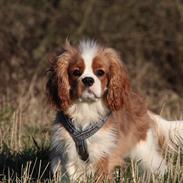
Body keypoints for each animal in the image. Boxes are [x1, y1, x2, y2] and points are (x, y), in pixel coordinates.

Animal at [46, 39, 183, 182]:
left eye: (100, 72)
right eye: (76, 72)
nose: (88, 80)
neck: (87, 108)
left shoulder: (105, 151)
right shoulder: (69, 152)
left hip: (143, 149)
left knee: (156, 164)